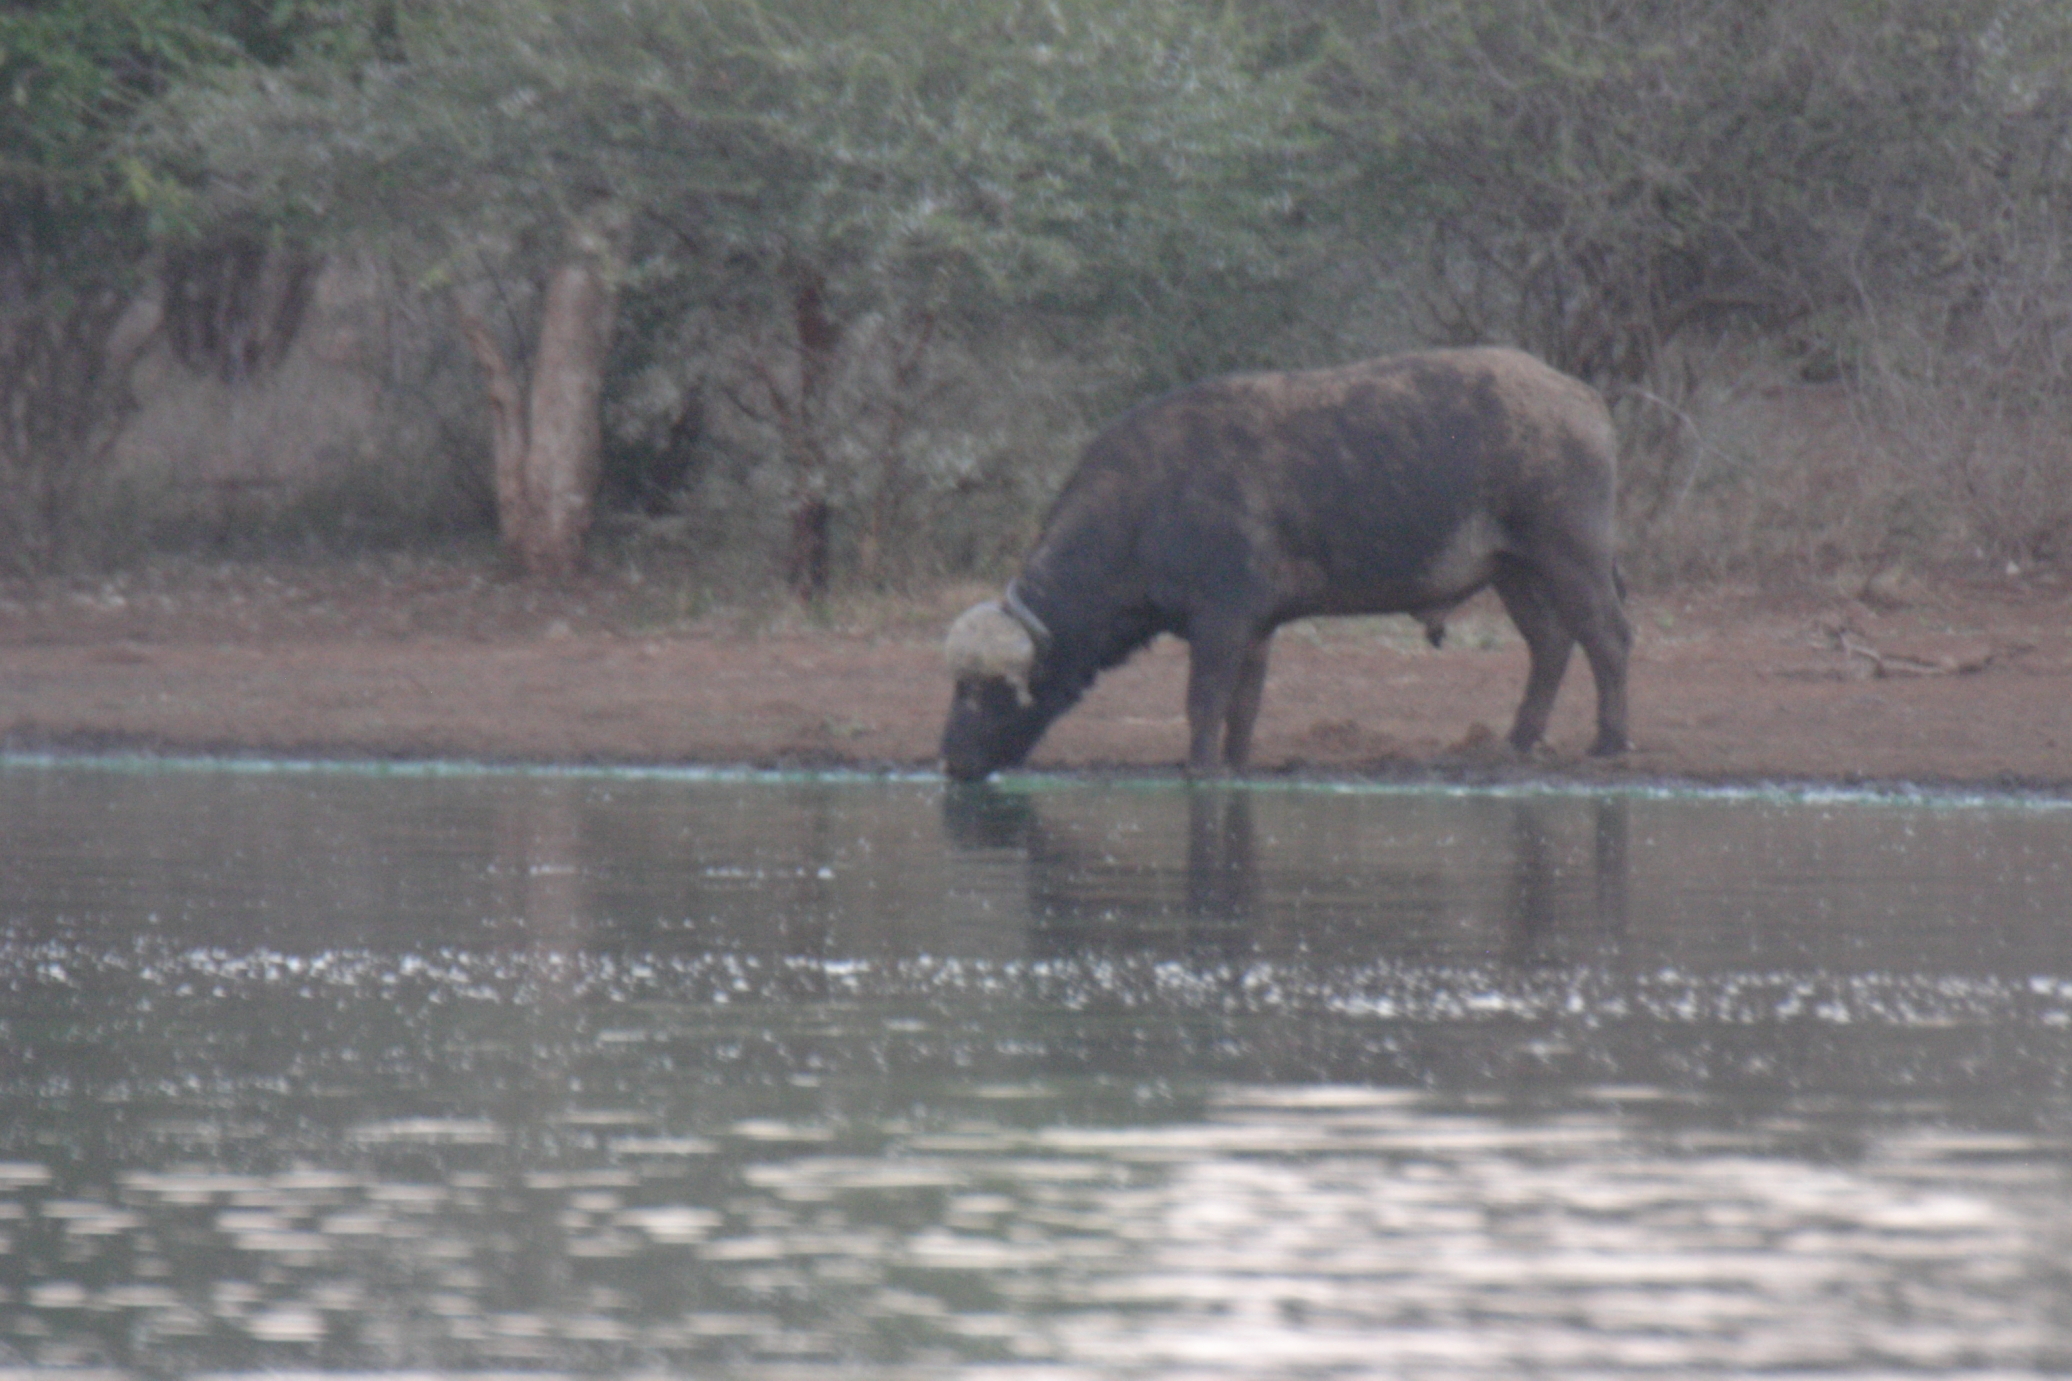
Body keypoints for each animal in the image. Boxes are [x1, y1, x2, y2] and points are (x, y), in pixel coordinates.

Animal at [944, 345, 1632, 778]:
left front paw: (1199, 768)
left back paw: (1609, 742)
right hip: (1514, 569)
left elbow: (1204, 701)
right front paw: (1234, 763)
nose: (951, 762)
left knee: (1607, 637)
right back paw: (1516, 742)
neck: (1144, 506)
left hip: (1570, 554)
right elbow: (1243, 707)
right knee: (1550, 643)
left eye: (981, 693)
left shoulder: (1221, 620)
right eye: (958, 686)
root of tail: (1582, 397)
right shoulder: (1257, 628)